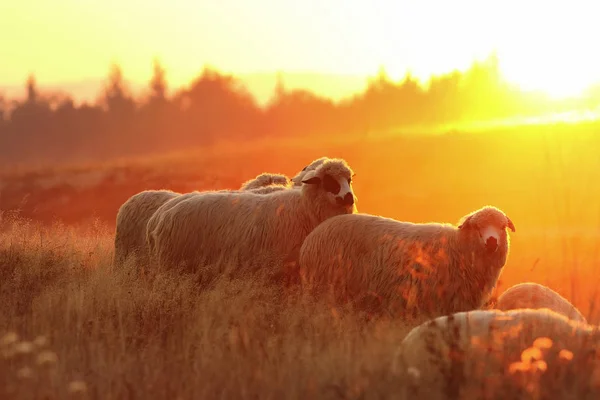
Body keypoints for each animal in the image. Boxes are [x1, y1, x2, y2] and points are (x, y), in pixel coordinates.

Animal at [148, 157, 356, 278]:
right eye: (329, 181)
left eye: (349, 180)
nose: (349, 197)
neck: (305, 209)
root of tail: (160, 218)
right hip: (175, 268)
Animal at [300, 205, 516, 324]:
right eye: (478, 226)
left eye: (502, 227)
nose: (491, 241)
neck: (457, 247)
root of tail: (313, 236)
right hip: (324, 291)